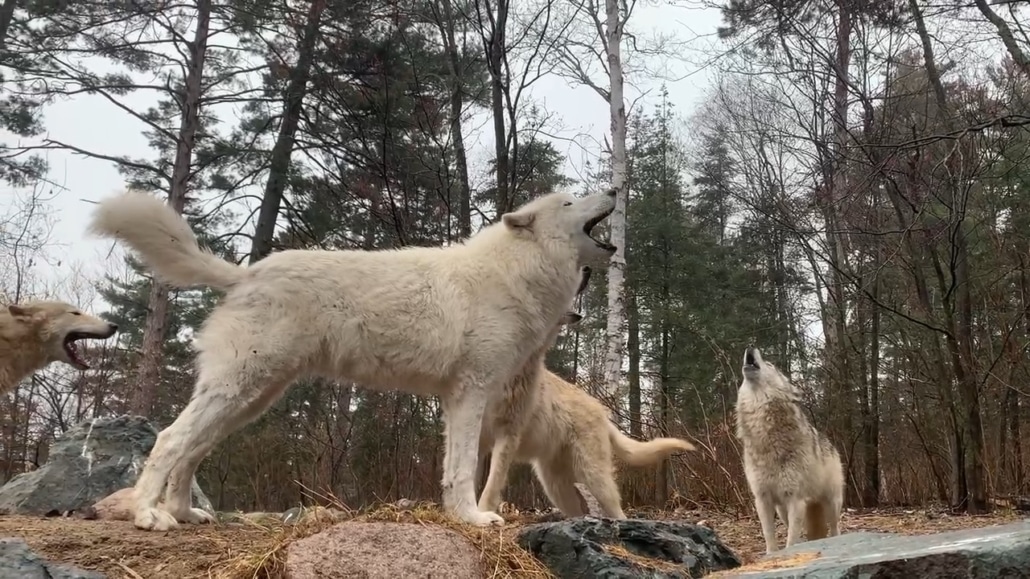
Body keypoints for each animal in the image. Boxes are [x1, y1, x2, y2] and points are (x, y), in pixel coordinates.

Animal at [87, 187, 616, 531]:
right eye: (570, 201)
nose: (614, 187)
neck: (516, 272)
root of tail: (245, 273)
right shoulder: (471, 392)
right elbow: (465, 467)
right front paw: (473, 518)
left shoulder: (459, 399)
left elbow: (453, 468)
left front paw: (456, 515)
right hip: (240, 388)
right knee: (170, 440)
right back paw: (149, 516)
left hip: (250, 398)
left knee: (193, 449)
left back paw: (184, 513)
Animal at [477, 283, 696, 518]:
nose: (577, 315)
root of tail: (602, 412)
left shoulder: (508, 434)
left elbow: (491, 485)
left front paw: (482, 514)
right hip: (556, 486)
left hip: (593, 477)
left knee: (618, 512)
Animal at [735, 346, 844, 553]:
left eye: (770, 364)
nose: (750, 347)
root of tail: (832, 444)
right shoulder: (762, 499)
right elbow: (769, 534)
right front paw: (772, 554)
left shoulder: (796, 499)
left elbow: (791, 539)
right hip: (782, 510)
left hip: (832, 504)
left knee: (835, 528)